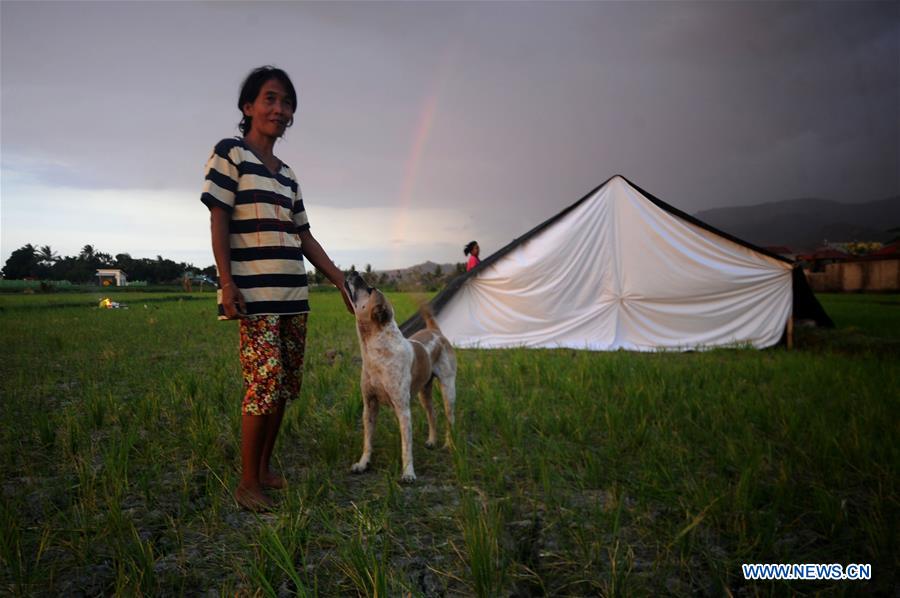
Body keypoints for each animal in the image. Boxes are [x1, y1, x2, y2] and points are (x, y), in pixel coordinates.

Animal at [344, 272, 458, 482]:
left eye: (369, 289)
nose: (354, 272)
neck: (377, 352)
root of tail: (436, 332)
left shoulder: (403, 409)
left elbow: (406, 446)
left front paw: (408, 473)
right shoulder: (369, 405)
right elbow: (367, 441)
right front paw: (363, 464)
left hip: (448, 389)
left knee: (450, 418)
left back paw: (448, 444)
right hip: (424, 393)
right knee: (432, 414)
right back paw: (432, 441)